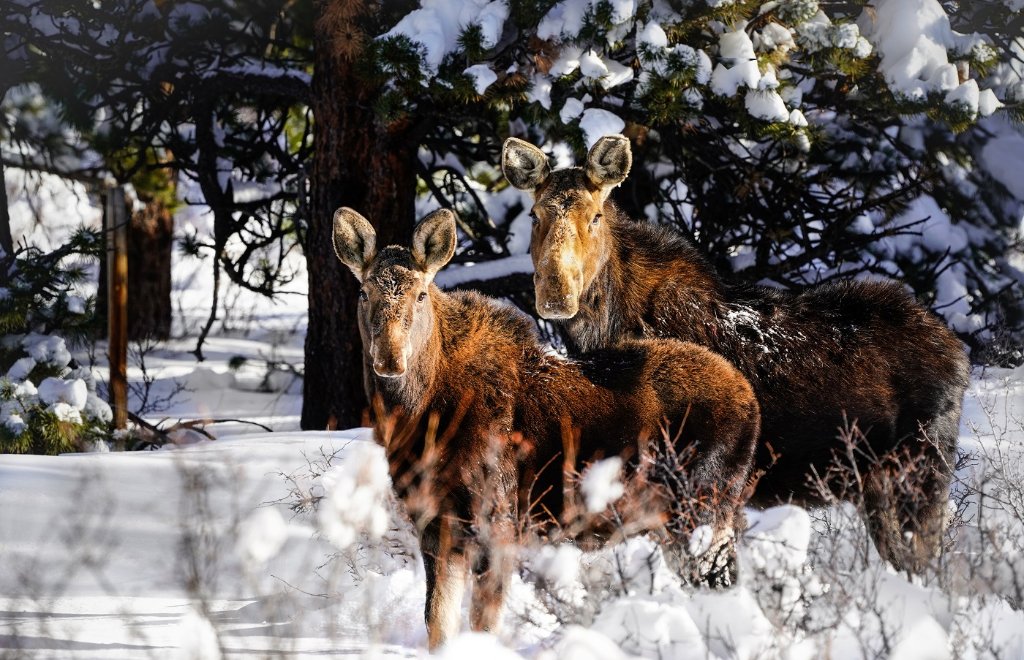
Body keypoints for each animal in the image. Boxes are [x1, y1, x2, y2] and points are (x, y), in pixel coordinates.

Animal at [335, 207, 761, 646]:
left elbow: (482, 624)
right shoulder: (435, 523)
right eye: (363, 293)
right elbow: (438, 623)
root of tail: (751, 402)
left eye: (420, 294)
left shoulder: (498, 521)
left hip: (701, 510)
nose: (389, 359)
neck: (416, 420)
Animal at [503, 135, 966, 577]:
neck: (607, 329)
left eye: (595, 216)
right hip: (879, 485)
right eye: (535, 216)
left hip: (922, 473)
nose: (556, 293)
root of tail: (959, 354)